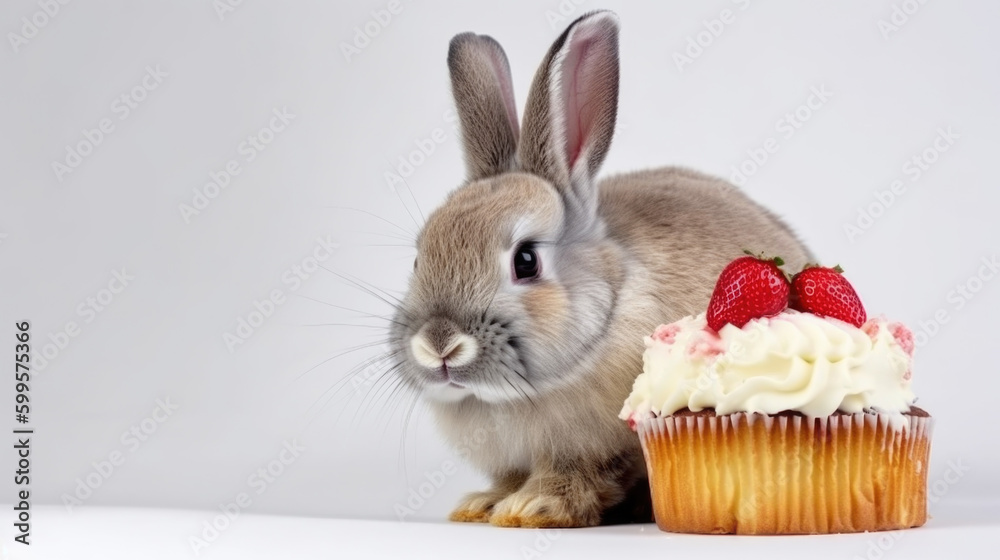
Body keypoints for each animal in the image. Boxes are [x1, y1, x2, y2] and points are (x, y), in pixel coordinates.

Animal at [386, 10, 812, 528]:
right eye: (418, 257)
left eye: (525, 260)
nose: (439, 344)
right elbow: (508, 478)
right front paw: (482, 506)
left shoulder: (600, 448)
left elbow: (583, 477)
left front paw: (531, 509)